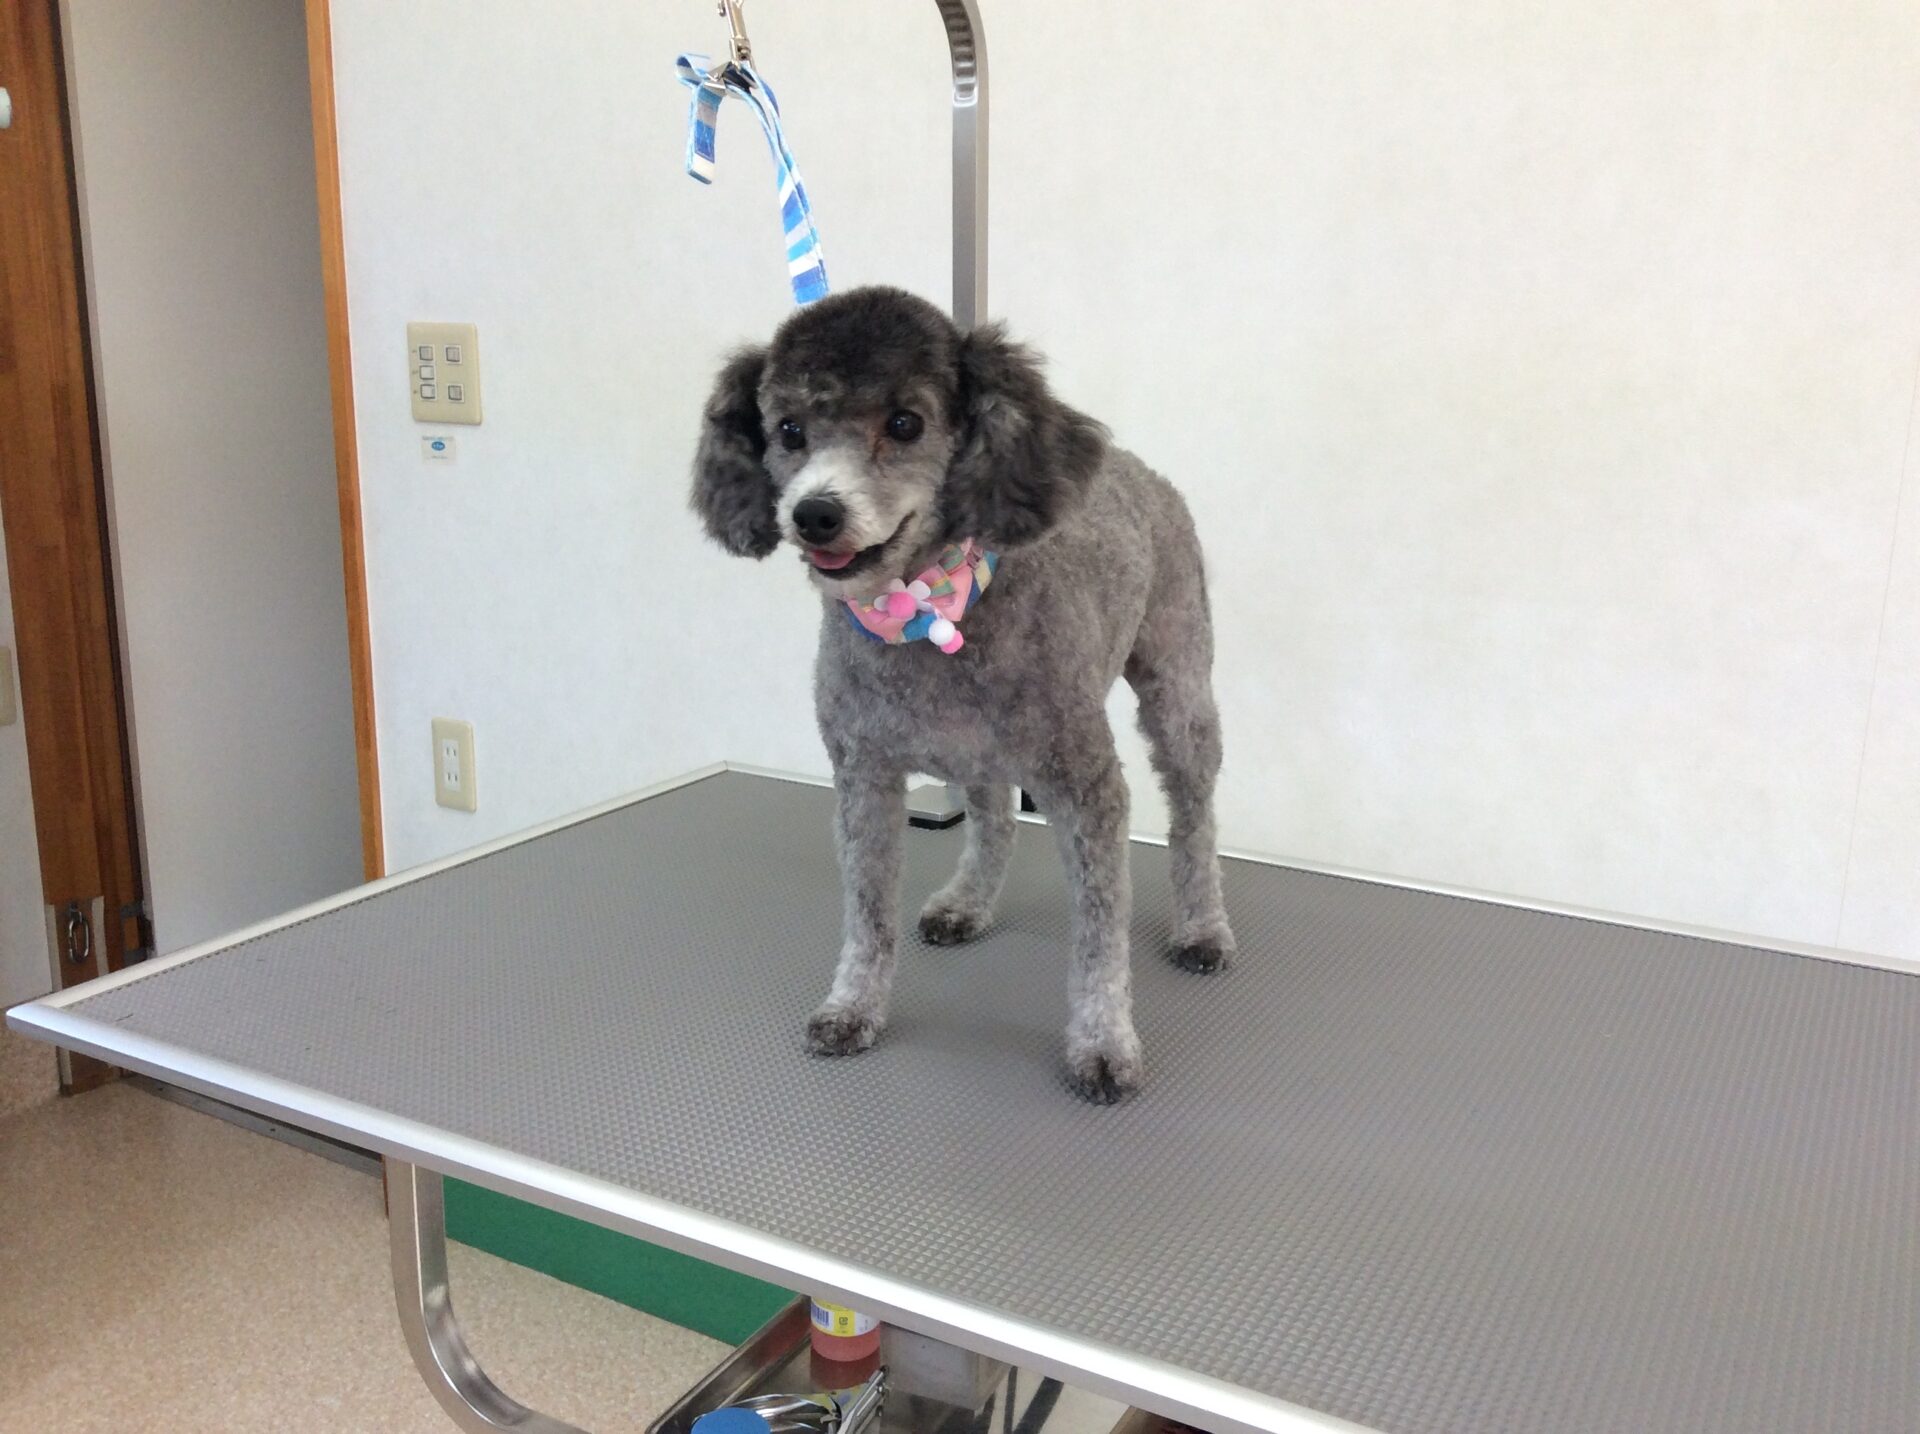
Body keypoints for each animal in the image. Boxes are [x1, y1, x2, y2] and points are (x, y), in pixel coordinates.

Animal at [690, 286, 1234, 1102]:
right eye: (788, 431)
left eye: (905, 423)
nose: (815, 513)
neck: (923, 607)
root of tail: (1136, 469)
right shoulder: (863, 780)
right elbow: (867, 916)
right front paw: (852, 1006)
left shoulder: (1089, 788)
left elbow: (1099, 937)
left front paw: (1104, 1043)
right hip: (982, 752)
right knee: (994, 815)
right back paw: (969, 901)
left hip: (1178, 685)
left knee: (1194, 813)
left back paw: (1203, 926)